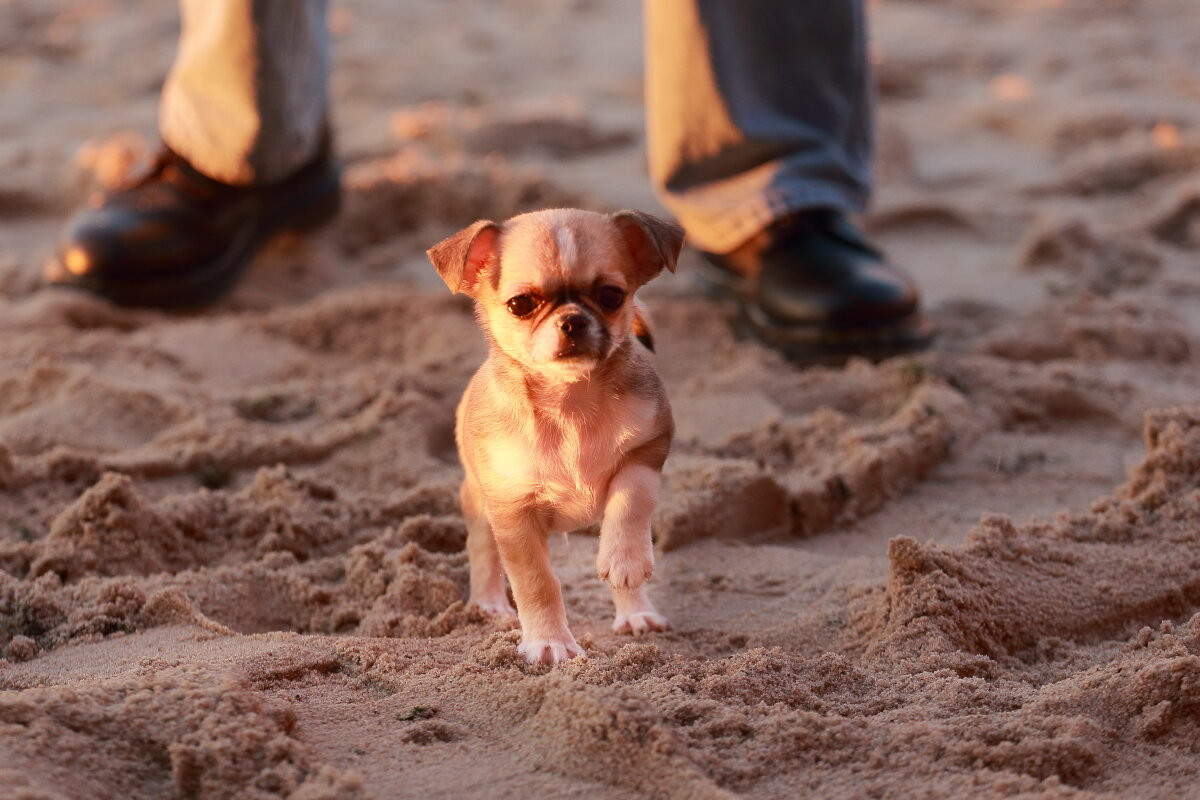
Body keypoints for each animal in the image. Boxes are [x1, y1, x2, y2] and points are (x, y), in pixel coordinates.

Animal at [427, 206, 681, 662]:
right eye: (521, 304)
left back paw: (636, 613)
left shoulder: (649, 446)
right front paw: (549, 643)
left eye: (612, 296)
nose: (573, 320)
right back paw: (489, 605)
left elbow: (631, 501)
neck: (569, 405)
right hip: (479, 503)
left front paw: (626, 558)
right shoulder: (513, 513)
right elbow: (537, 583)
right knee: (482, 550)